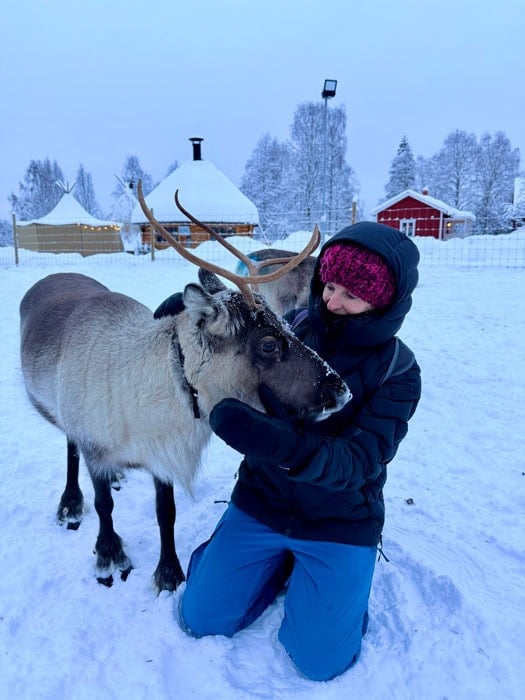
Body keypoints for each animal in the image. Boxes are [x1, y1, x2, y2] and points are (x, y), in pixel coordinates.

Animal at [19, 183, 350, 593]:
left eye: (289, 326)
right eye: (269, 344)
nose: (340, 389)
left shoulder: (163, 457)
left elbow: (166, 513)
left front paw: (169, 573)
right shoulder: (95, 445)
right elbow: (103, 506)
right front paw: (109, 555)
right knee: (70, 450)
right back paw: (70, 503)